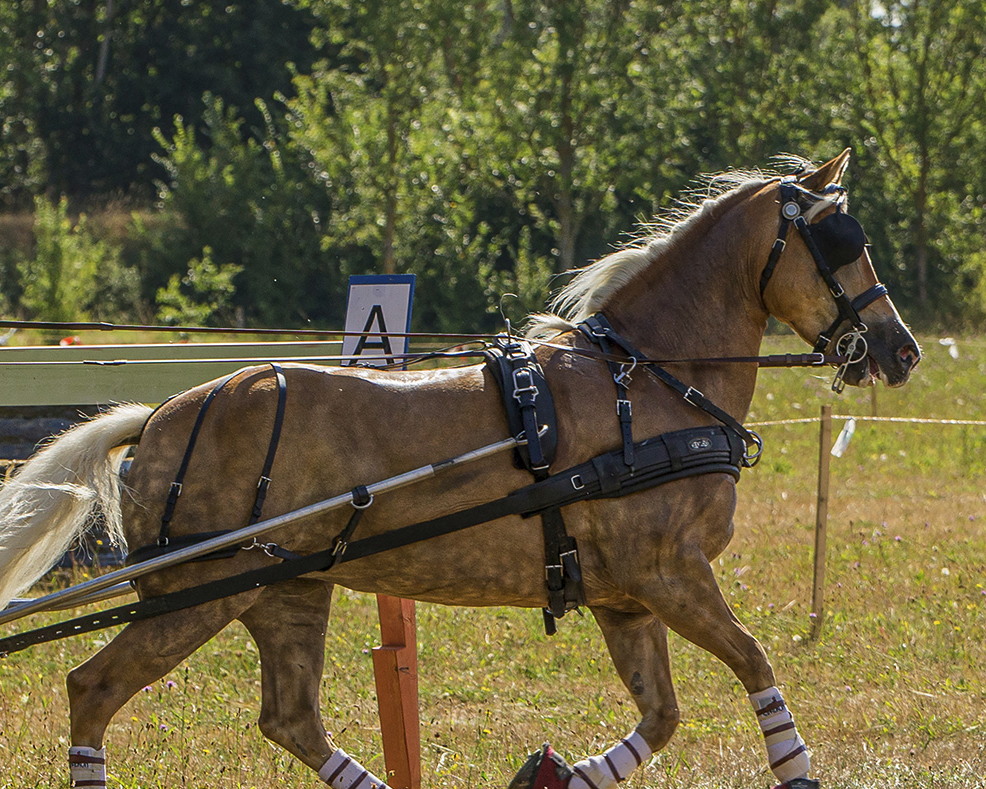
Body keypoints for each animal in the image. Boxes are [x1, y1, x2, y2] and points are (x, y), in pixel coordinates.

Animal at [0, 149, 920, 789]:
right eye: (843, 241)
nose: (901, 349)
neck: (649, 381)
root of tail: (158, 415)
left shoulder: (624, 596)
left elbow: (661, 716)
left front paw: (554, 772)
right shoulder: (671, 573)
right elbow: (757, 665)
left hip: (285, 590)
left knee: (291, 719)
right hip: (202, 590)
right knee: (91, 687)